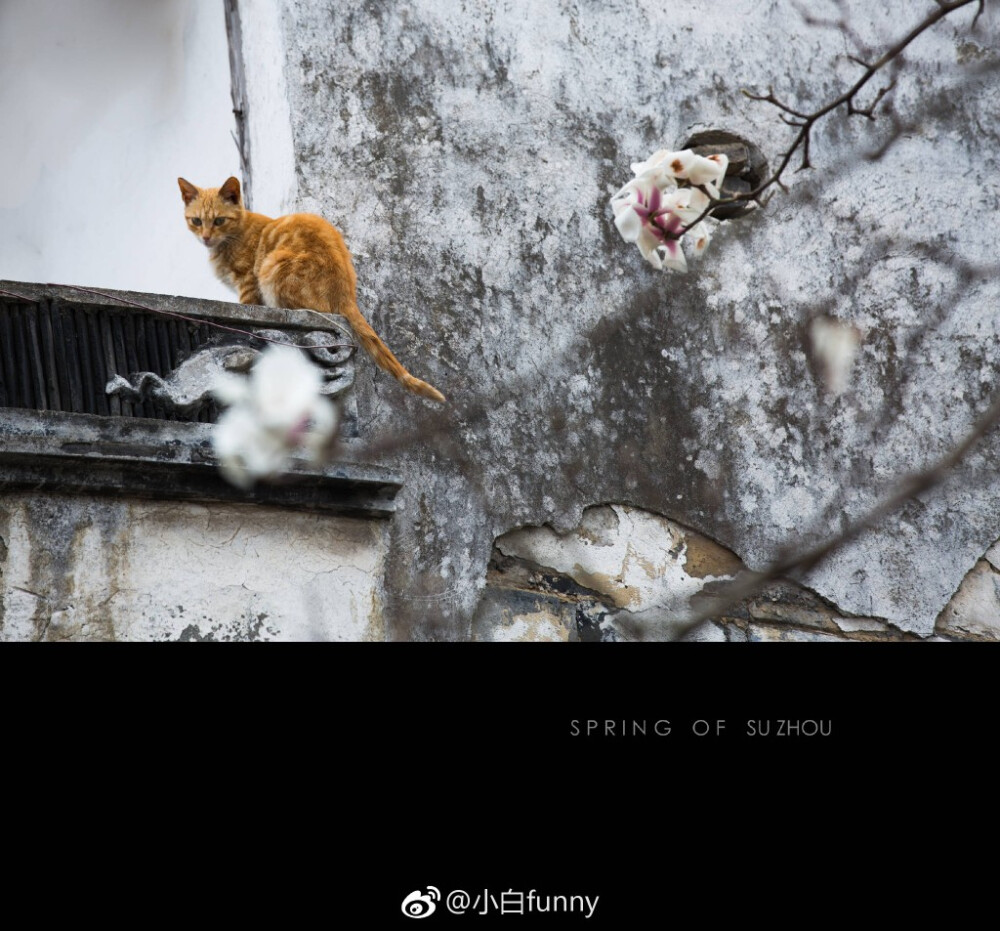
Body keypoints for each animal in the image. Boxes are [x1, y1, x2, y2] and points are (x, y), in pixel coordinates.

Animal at [179, 177, 446, 402]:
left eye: (219, 221)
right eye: (196, 221)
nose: (205, 237)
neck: (233, 236)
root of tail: (347, 294)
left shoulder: (248, 282)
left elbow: (248, 307)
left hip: (273, 266)